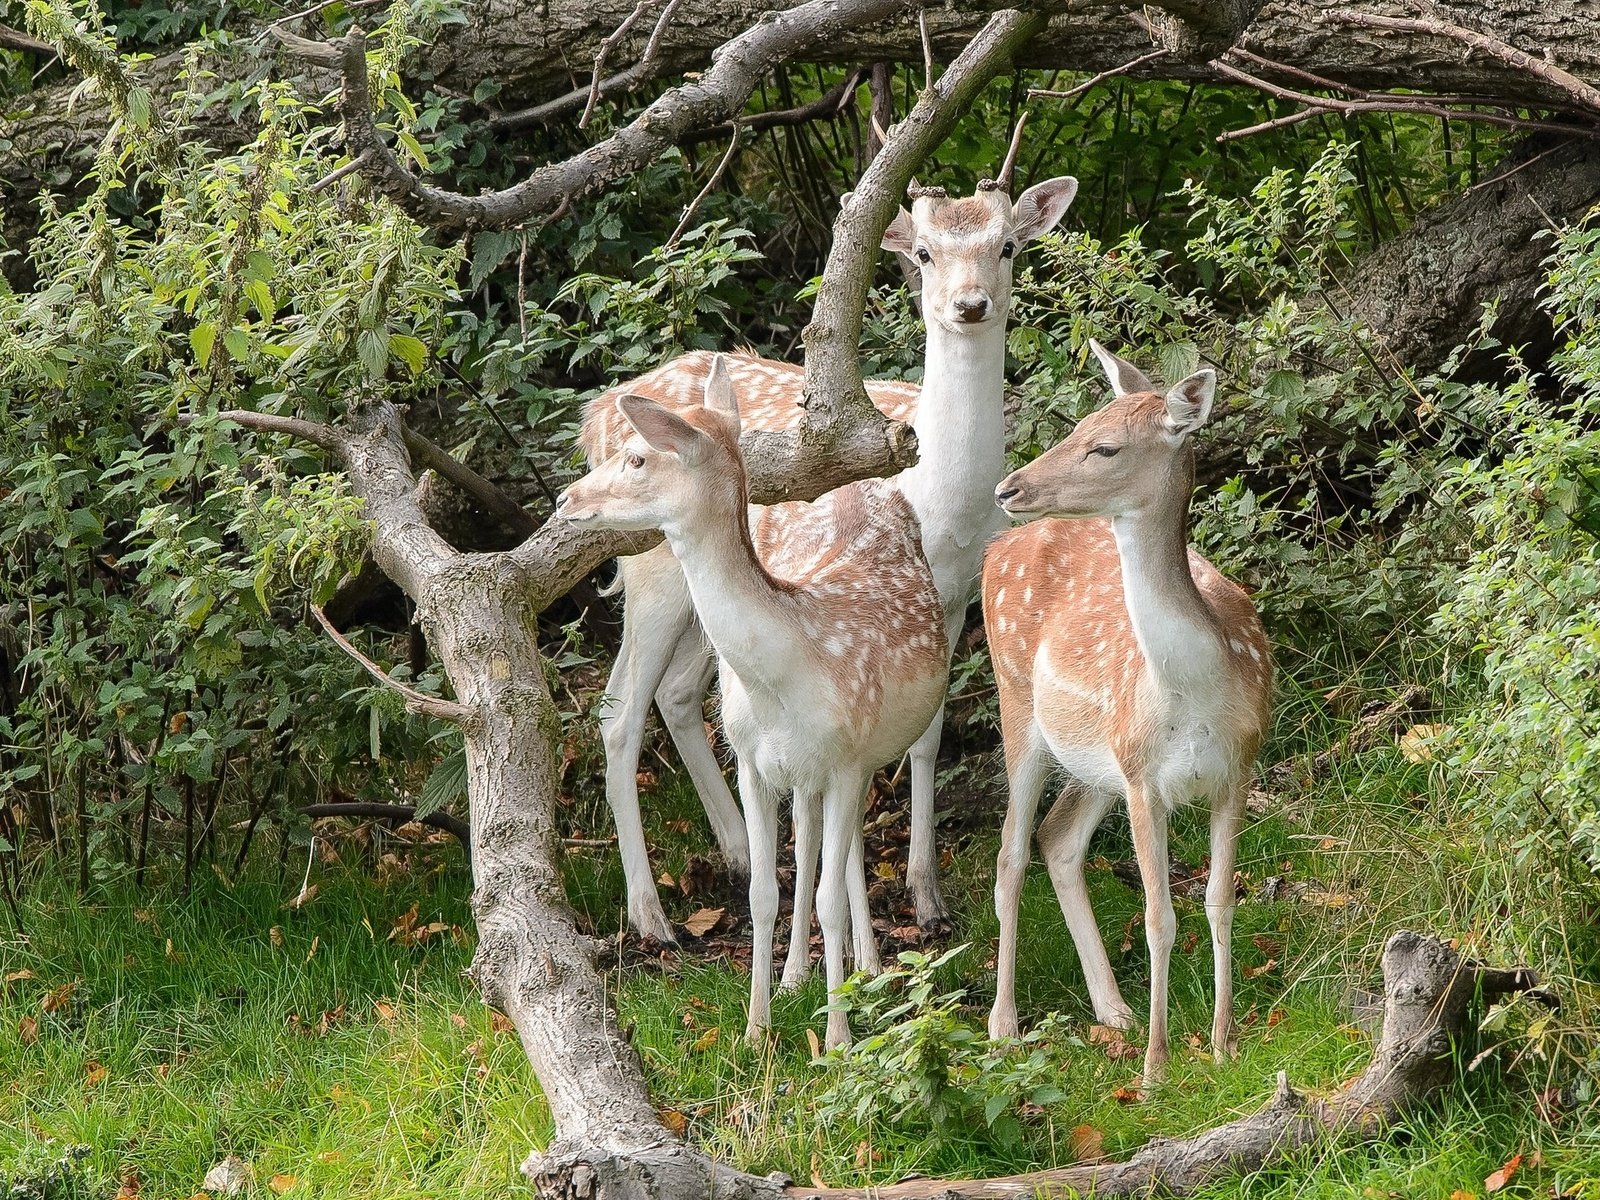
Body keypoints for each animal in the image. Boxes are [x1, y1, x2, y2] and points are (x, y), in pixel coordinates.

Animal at [556, 360, 947, 1049]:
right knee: (815, 842)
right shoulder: (750, 762)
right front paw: (755, 1030)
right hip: (802, 771)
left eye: (637, 457)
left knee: (840, 852)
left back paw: (863, 971)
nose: (565, 500)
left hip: (859, 757)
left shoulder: (846, 759)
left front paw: (838, 1040)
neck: (787, 670)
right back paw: (799, 978)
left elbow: (825, 896)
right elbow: (764, 892)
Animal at [582, 178, 1081, 953]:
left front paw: (927, 895)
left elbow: (928, 736)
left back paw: (738, 850)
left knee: (677, 693)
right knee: (619, 710)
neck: (947, 501)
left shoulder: (953, 592)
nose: (970, 305)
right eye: (924, 252)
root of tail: (596, 413)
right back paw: (650, 915)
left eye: (1007, 245)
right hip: (650, 569)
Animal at [972, 340, 1273, 1088]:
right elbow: (1159, 915)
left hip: (1098, 760)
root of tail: (996, 548)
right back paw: (1003, 1023)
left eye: (1104, 446)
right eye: (1078, 424)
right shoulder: (1145, 782)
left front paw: (1222, 1045)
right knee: (1010, 851)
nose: (1008, 488)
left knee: (1057, 838)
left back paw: (1113, 1009)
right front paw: (1157, 1067)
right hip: (1019, 708)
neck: (1195, 693)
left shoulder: (1238, 767)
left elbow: (1219, 900)